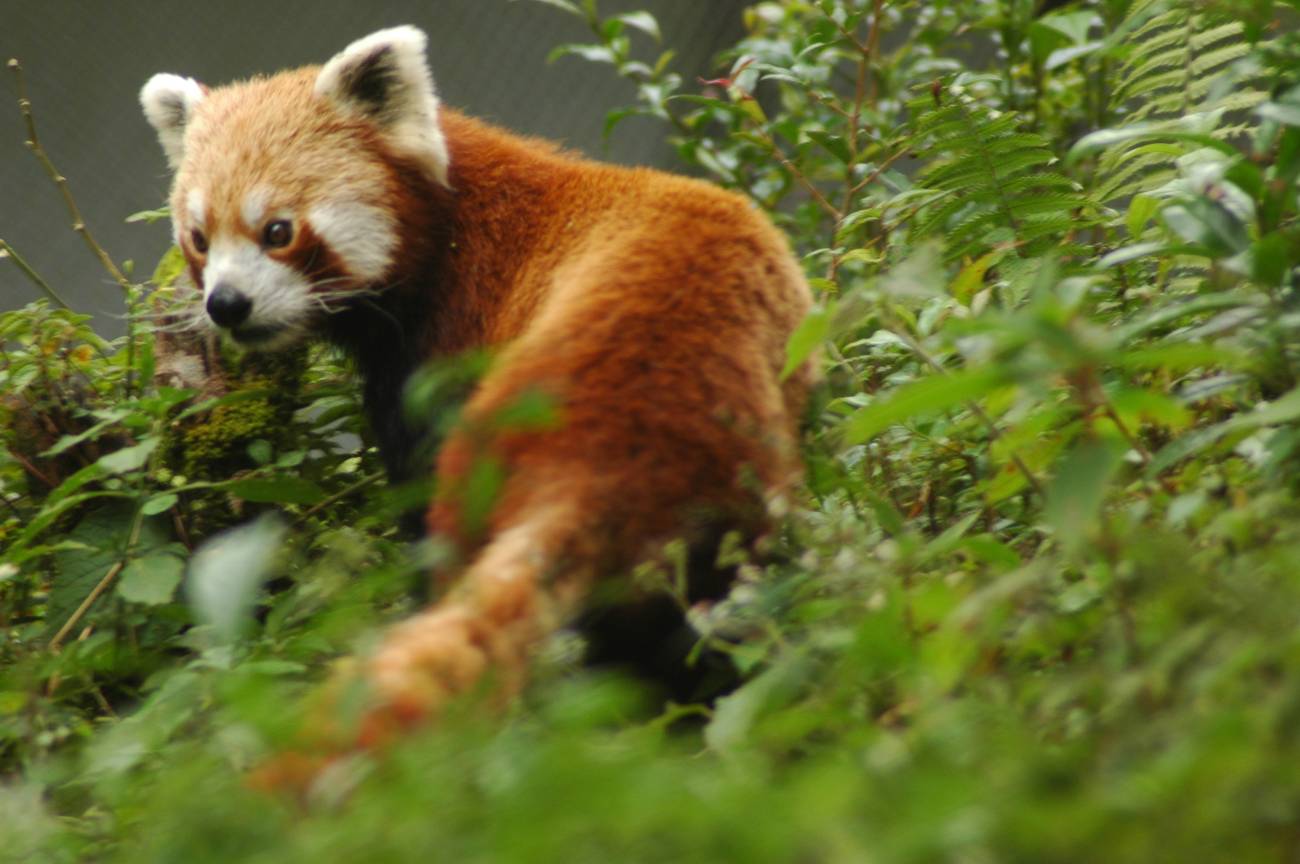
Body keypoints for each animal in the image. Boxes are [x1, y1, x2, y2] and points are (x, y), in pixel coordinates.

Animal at [142, 25, 811, 743]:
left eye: (278, 231)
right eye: (200, 240)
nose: (226, 304)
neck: (447, 235)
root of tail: (597, 456)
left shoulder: (446, 348)